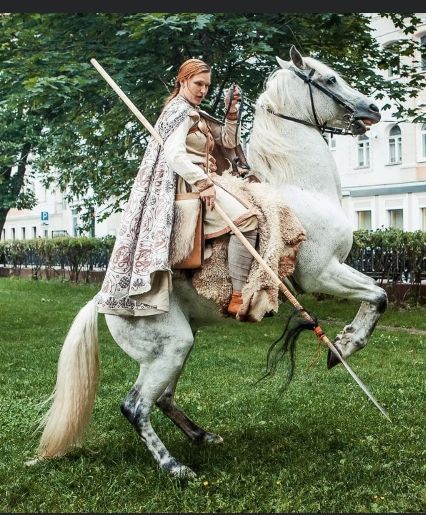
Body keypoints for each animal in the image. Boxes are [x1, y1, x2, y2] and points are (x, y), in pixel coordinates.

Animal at [33, 47, 386, 480]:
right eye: (330, 78)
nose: (373, 108)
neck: (303, 190)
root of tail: (103, 301)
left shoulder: (332, 270)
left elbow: (377, 295)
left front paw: (341, 344)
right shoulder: (321, 273)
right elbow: (379, 295)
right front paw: (344, 347)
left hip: (181, 344)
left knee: (163, 399)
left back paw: (203, 436)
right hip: (171, 347)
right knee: (135, 406)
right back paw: (175, 467)